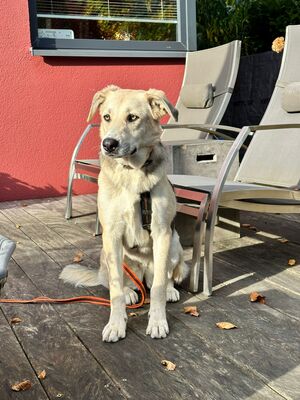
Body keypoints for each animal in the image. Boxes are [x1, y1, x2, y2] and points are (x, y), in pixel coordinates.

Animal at [60, 86, 188, 342]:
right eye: (107, 117)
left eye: (133, 117)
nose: (108, 144)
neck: (132, 173)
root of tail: (142, 273)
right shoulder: (111, 234)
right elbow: (116, 288)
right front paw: (116, 324)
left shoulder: (162, 232)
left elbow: (158, 286)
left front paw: (157, 321)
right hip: (107, 253)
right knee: (114, 281)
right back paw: (130, 291)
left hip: (174, 243)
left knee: (164, 277)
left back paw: (170, 289)